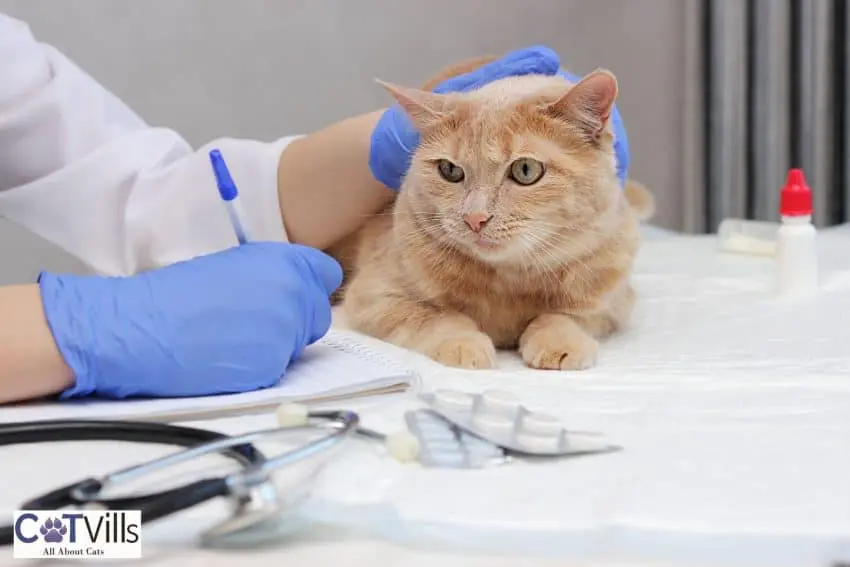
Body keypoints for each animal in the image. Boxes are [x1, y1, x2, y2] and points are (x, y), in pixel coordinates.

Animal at [328, 55, 652, 370]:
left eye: (525, 170)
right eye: (449, 170)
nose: (475, 218)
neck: (509, 283)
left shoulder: (612, 302)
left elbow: (566, 315)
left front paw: (559, 340)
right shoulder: (374, 293)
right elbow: (435, 315)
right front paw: (462, 342)